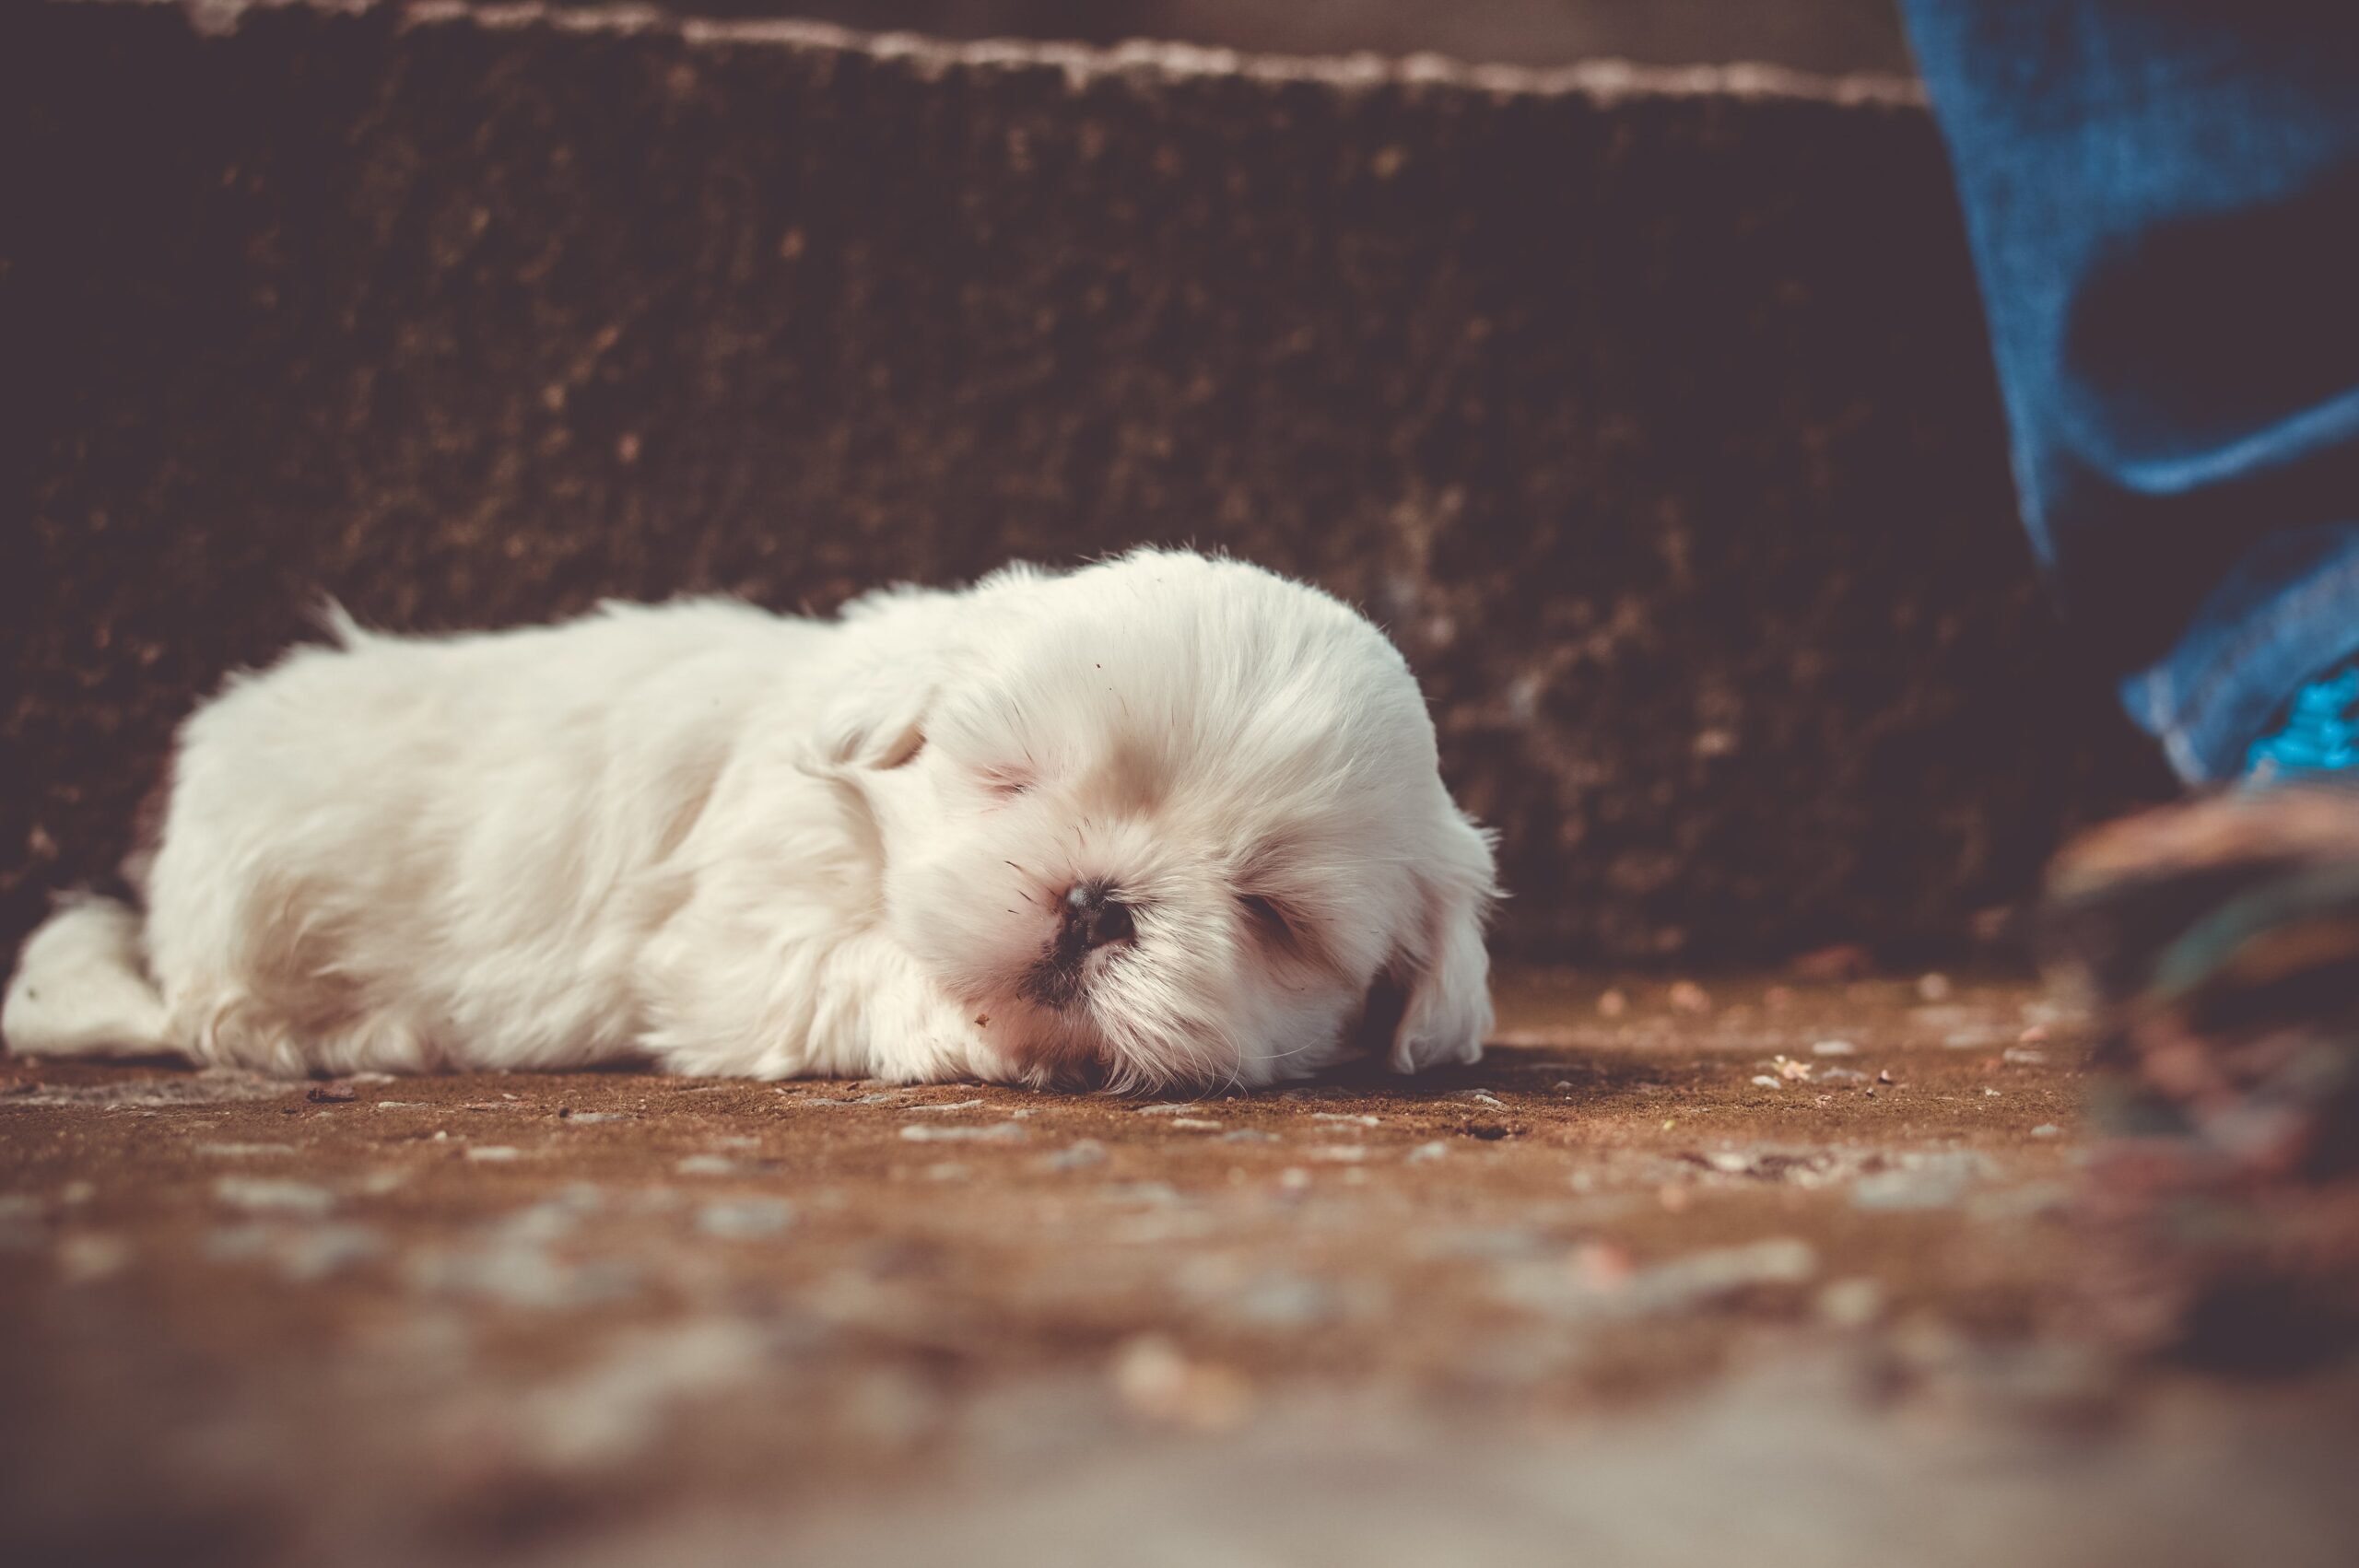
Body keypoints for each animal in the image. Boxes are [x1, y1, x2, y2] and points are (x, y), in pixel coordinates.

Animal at [5, 549, 1490, 1089]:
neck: (871, 827)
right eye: (1009, 780)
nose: (1094, 900)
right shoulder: (732, 943)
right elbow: (859, 966)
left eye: (1271, 913)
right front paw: (973, 1027)